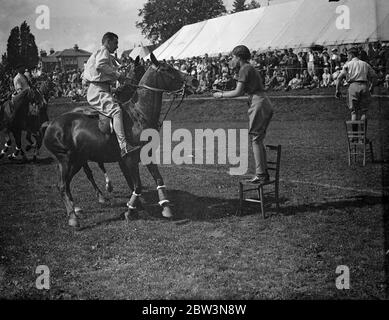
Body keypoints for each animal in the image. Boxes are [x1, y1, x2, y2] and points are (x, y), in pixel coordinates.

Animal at [44, 53, 199, 228]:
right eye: (167, 69)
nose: (194, 81)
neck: (139, 115)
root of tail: (51, 124)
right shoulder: (129, 159)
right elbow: (137, 186)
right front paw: (130, 211)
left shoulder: (147, 155)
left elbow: (158, 179)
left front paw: (165, 207)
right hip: (66, 160)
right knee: (63, 185)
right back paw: (73, 217)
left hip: (77, 160)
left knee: (67, 183)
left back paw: (76, 208)